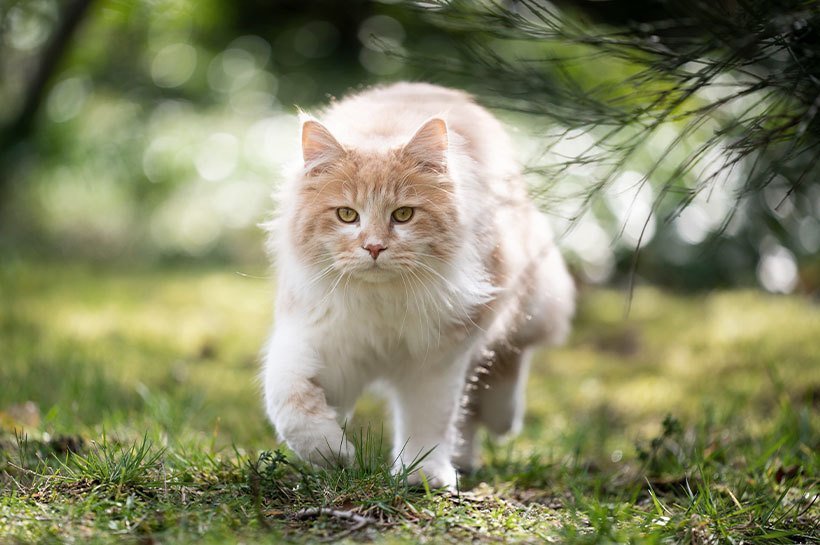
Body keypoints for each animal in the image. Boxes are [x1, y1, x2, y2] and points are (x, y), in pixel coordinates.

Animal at [264, 82, 576, 488]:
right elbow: (290, 406)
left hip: (522, 293)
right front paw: (335, 452)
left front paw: (421, 474)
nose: (374, 247)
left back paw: (501, 420)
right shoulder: (316, 341)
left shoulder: (439, 358)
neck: (382, 305)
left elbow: (428, 422)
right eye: (347, 215)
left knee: (507, 365)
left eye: (403, 215)